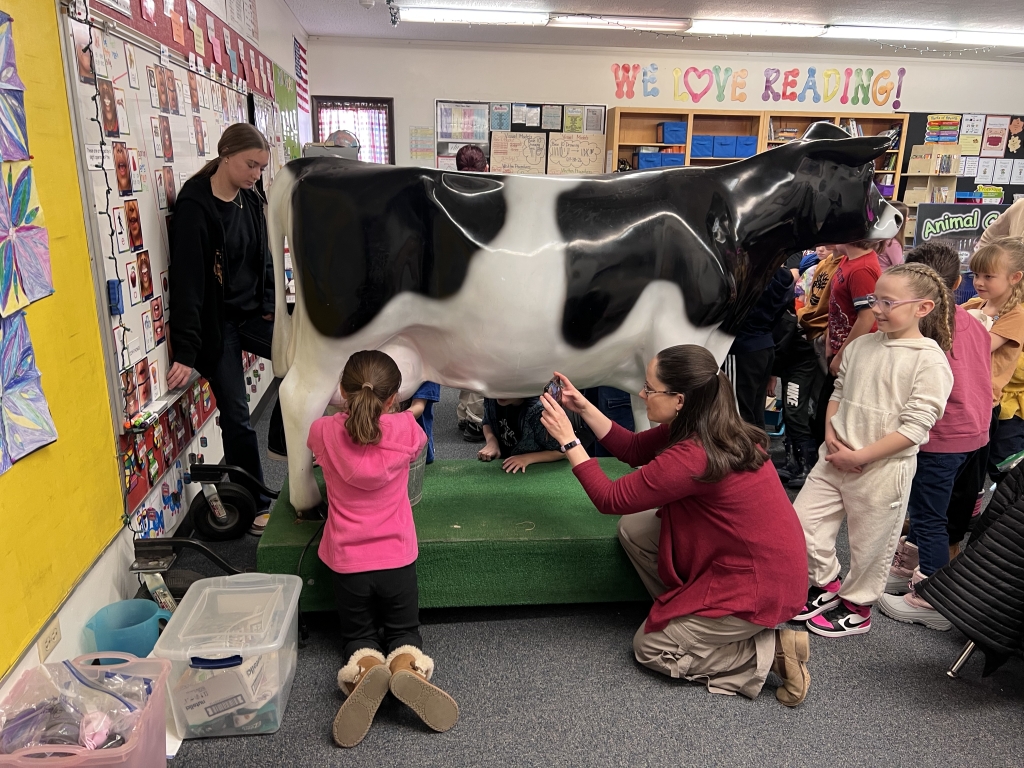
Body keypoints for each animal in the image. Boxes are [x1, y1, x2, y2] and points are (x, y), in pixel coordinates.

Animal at [268, 123, 901, 514]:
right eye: (865, 175)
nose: (897, 215)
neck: (732, 218)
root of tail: (311, 167)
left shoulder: (658, 354)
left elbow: (653, 415)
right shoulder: (683, 332)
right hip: (338, 331)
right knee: (298, 399)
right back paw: (305, 502)